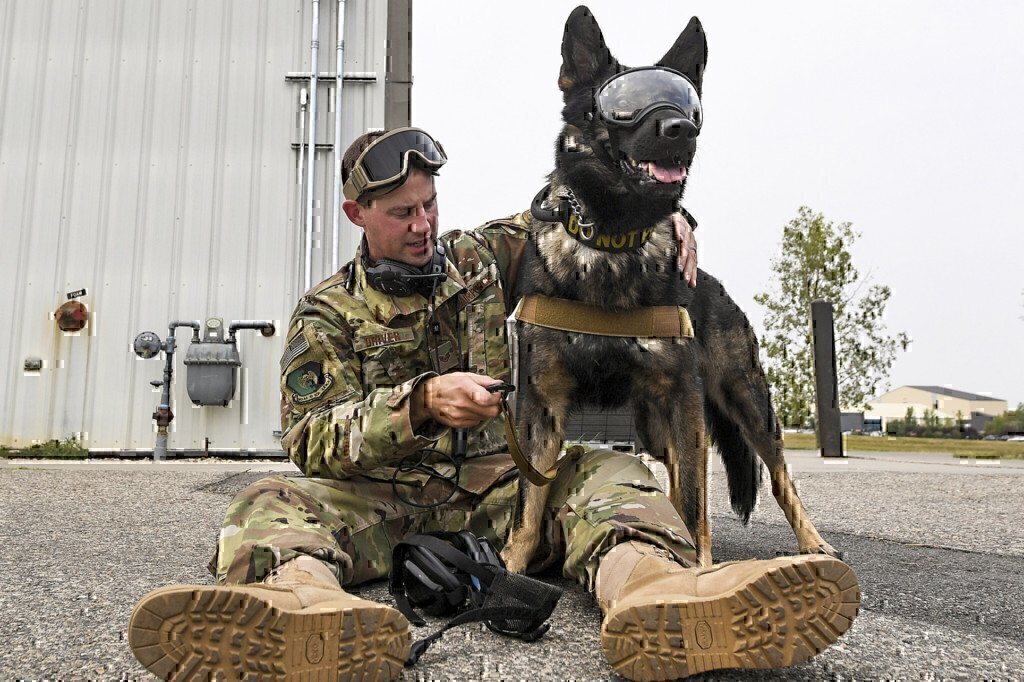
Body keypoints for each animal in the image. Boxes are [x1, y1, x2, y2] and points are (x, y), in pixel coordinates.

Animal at [497, 5, 839, 569]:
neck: (612, 242)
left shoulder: (684, 401)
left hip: (744, 401)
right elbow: (526, 508)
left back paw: (812, 544)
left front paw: (698, 570)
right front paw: (506, 568)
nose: (682, 129)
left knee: (776, 475)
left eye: (687, 103)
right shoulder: (541, 408)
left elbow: (696, 505)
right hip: (658, 428)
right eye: (622, 106)